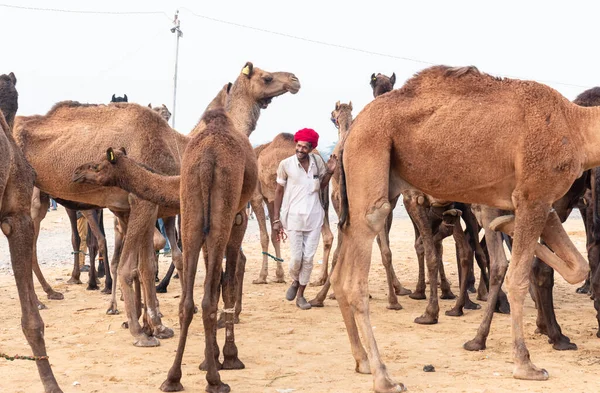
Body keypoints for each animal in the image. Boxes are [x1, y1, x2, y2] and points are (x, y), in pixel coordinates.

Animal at [336, 64, 592, 388]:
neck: (576, 125)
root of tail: (352, 132)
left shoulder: (540, 201)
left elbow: (575, 267)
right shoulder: (535, 193)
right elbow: (518, 277)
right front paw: (525, 365)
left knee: (341, 269)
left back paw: (364, 361)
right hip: (370, 156)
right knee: (355, 274)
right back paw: (384, 378)